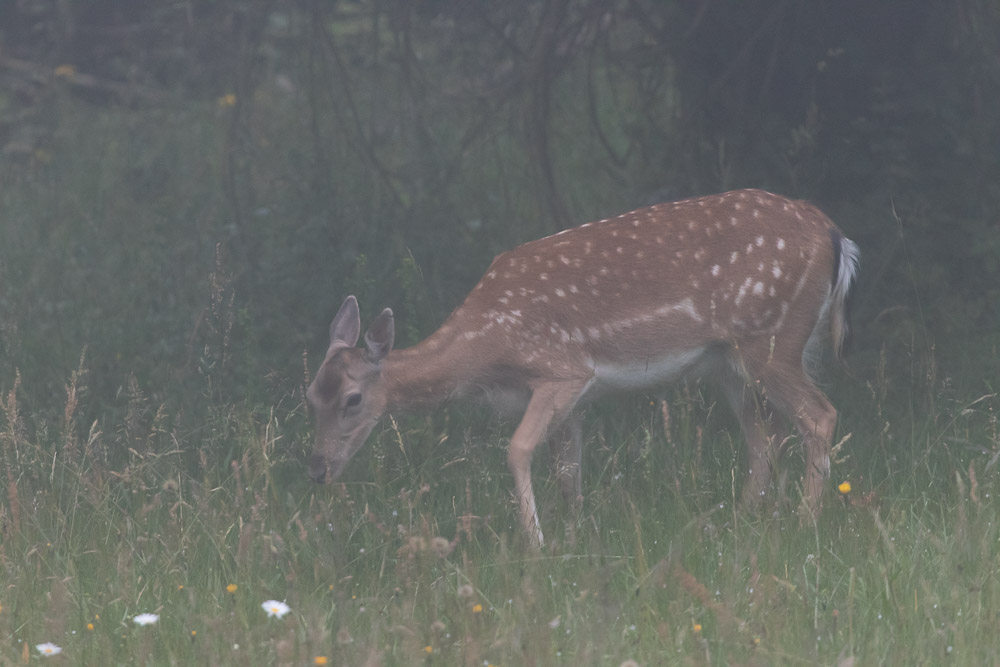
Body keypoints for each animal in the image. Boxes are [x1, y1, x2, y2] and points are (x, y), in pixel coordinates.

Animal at [304, 189, 860, 548]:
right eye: (310, 396)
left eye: (353, 399)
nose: (317, 469)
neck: (485, 346)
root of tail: (836, 237)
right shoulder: (572, 399)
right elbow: (569, 469)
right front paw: (574, 539)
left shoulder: (561, 370)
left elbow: (518, 449)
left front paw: (537, 543)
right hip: (733, 360)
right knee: (764, 436)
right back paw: (741, 522)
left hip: (771, 339)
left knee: (820, 415)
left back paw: (805, 522)